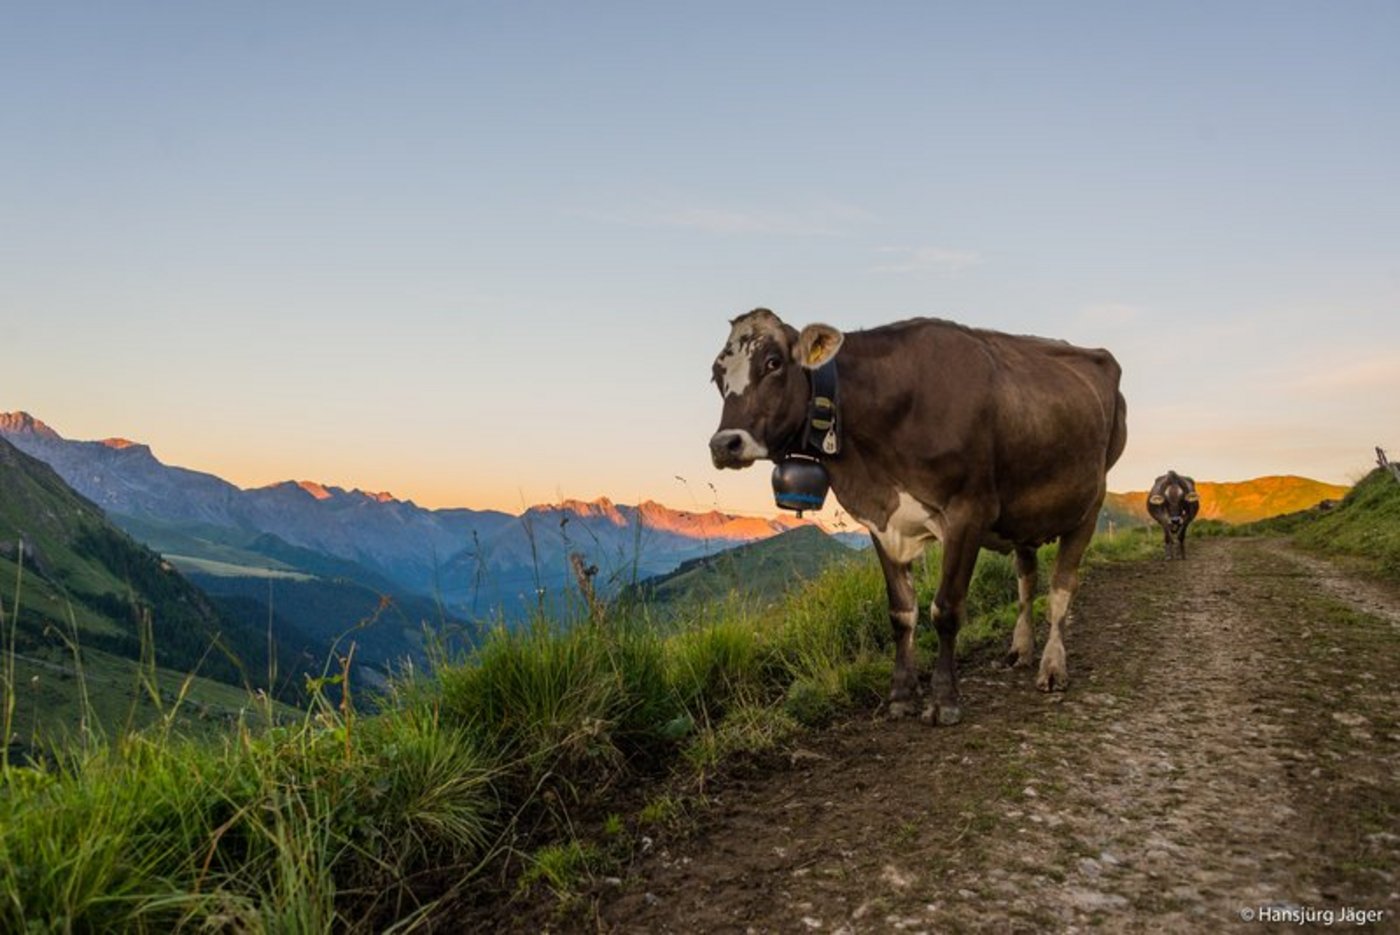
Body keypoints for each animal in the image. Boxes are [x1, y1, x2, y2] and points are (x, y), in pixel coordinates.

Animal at [709, 309, 1127, 725]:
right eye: (717, 374)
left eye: (773, 363)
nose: (724, 444)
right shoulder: (881, 521)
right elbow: (901, 613)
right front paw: (901, 695)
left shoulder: (968, 512)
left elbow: (946, 610)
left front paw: (943, 699)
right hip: (1023, 512)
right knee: (1027, 580)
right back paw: (1021, 649)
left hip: (1090, 504)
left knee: (1061, 589)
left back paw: (1052, 666)